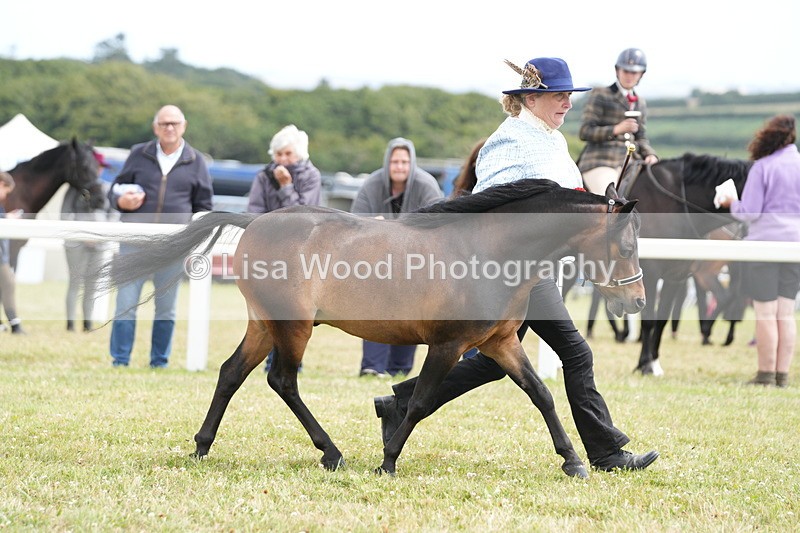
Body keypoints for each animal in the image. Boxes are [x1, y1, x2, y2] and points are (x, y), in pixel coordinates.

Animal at [102, 179, 645, 478]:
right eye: (625, 247)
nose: (635, 301)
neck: (489, 252)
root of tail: (253, 222)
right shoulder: (448, 344)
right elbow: (422, 401)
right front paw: (387, 461)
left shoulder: (499, 342)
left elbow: (541, 394)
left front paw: (574, 461)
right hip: (293, 326)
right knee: (282, 380)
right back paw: (331, 453)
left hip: (264, 324)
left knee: (231, 373)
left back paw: (202, 447)